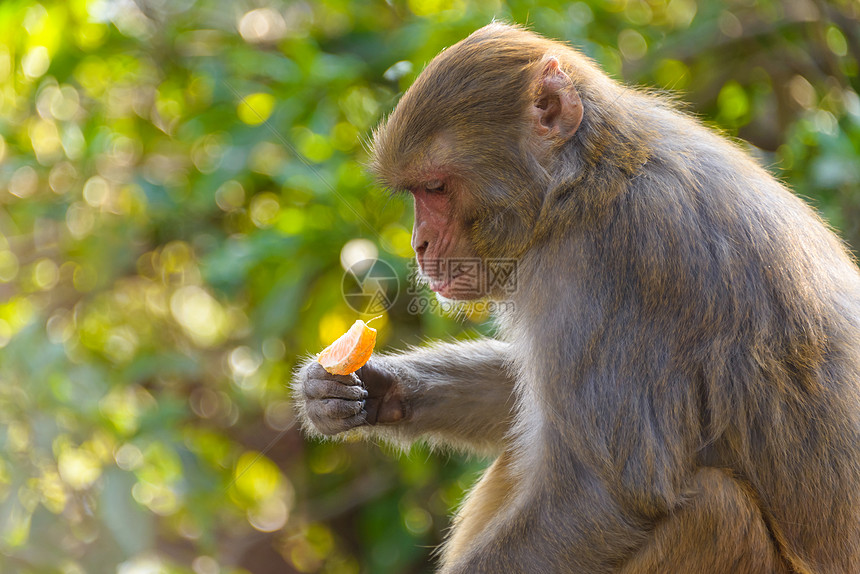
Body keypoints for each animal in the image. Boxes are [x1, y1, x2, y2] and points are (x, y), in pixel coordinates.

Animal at [294, 23, 860, 574]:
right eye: (416, 193)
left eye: (434, 188)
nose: (419, 244)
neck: (588, 184)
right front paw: (357, 389)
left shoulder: (619, 259)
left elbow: (608, 495)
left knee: (713, 508)